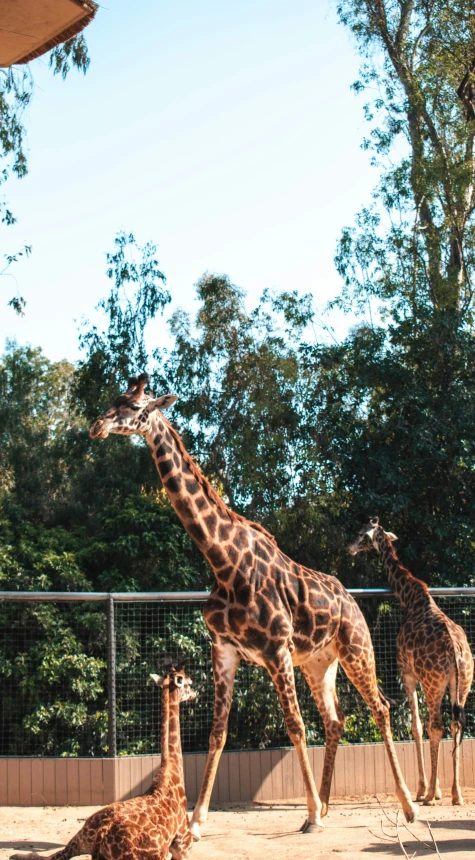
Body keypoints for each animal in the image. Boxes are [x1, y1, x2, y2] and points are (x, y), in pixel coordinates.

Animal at [11, 664, 197, 860]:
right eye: (189, 683)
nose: (195, 693)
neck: (171, 775)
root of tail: (103, 832)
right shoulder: (183, 845)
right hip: (151, 856)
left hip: (77, 841)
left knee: (50, 856)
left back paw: (15, 855)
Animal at [89, 374, 416, 832]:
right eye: (113, 399)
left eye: (135, 408)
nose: (96, 426)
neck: (223, 563)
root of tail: (351, 601)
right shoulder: (224, 649)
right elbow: (218, 732)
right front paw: (197, 820)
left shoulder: (276, 649)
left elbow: (294, 726)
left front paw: (309, 815)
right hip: (319, 663)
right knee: (335, 721)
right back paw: (329, 804)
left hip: (356, 648)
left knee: (381, 709)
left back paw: (406, 805)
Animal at [348, 516, 474, 808]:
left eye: (361, 533)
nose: (349, 548)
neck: (411, 598)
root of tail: (456, 652)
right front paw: (437, 788)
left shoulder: (407, 673)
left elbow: (416, 726)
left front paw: (424, 788)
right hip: (462, 684)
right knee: (456, 724)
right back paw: (457, 794)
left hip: (433, 683)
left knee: (436, 725)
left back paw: (429, 796)